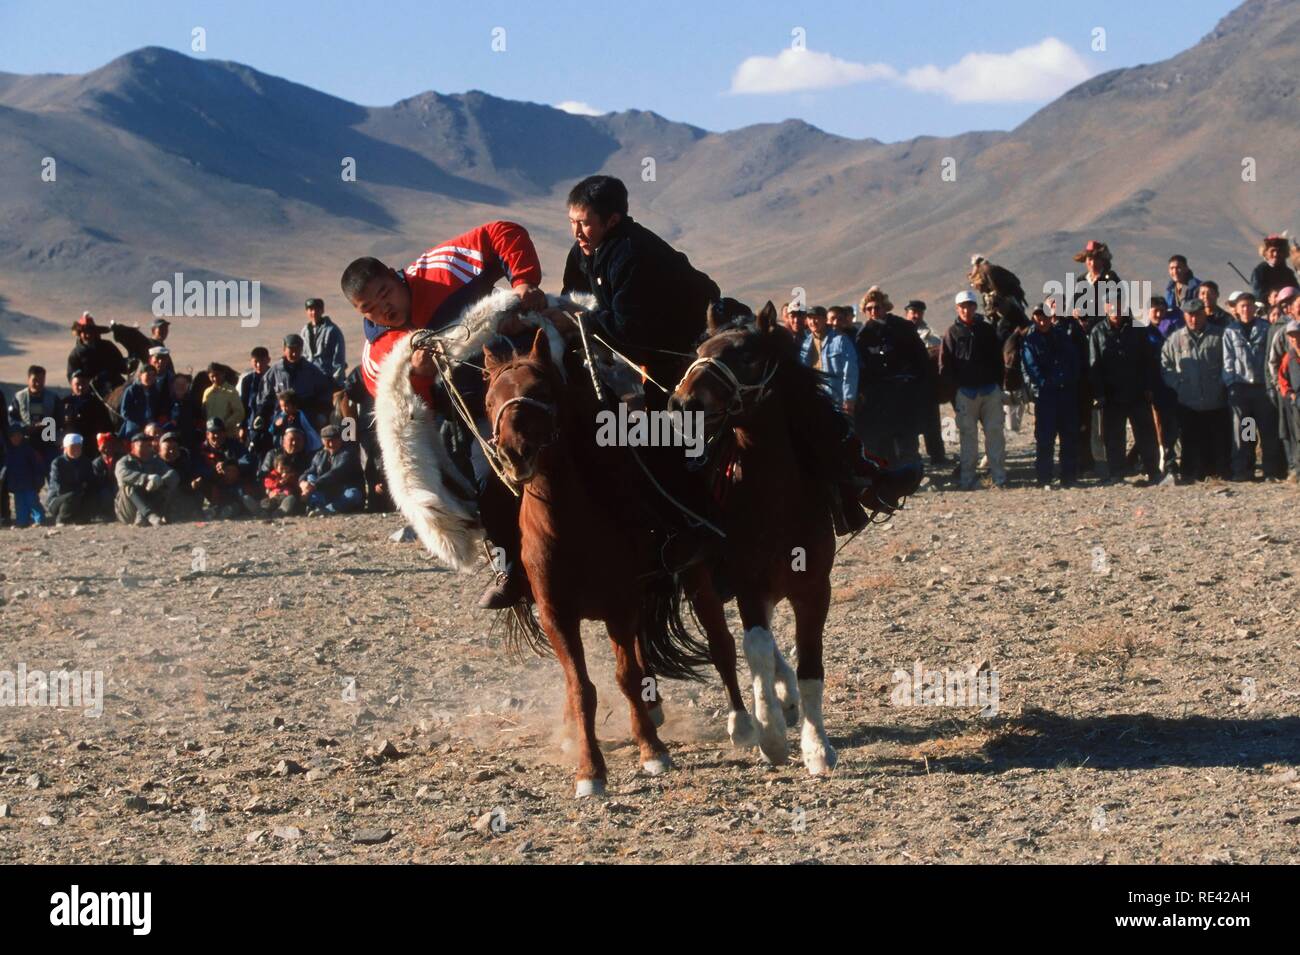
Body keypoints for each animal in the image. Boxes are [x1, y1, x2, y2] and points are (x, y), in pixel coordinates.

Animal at [483, 332, 722, 795]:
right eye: (489, 401)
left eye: (541, 391)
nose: (514, 454)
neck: (570, 525)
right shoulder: (556, 615)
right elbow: (581, 689)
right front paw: (589, 769)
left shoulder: (620, 605)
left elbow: (625, 676)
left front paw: (651, 751)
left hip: (687, 576)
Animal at [670, 304, 842, 779]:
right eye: (698, 352)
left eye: (746, 355)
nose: (682, 402)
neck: (776, 497)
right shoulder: (747, 583)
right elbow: (755, 649)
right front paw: (772, 739)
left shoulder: (814, 587)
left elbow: (809, 663)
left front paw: (817, 747)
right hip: (702, 583)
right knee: (724, 648)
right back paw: (744, 723)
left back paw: (787, 700)